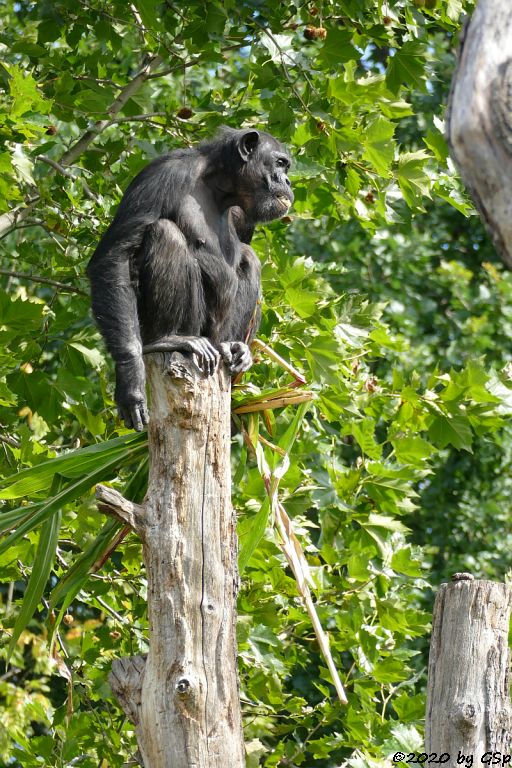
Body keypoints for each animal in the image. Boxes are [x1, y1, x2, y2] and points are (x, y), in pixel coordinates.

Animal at [88, 129, 292, 436]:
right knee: (165, 232)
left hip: (215, 334)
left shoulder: (244, 215)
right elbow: (116, 255)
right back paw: (167, 339)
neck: (220, 187)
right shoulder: (163, 175)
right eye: (280, 163)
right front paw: (130, 380)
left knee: (249, 257)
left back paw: (234, 348)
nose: (287, 180)